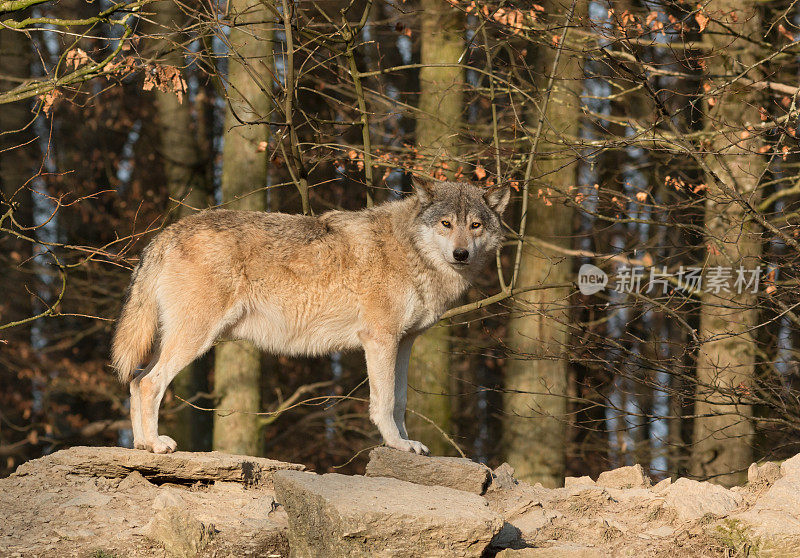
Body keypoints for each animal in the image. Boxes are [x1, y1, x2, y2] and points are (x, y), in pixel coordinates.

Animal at [109, 177, 510, 458]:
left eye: (475, 226)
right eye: (446, 224)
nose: (461, 254)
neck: (412, 251)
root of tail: (164, 234)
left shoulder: (405, 342)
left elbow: (399, 401)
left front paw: (407, 443)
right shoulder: (379, 339)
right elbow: (383, 403)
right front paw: (398, 445)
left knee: (136, 381)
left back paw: (142, 446)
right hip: (196, 339)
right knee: (150, 383)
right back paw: (157, 445)